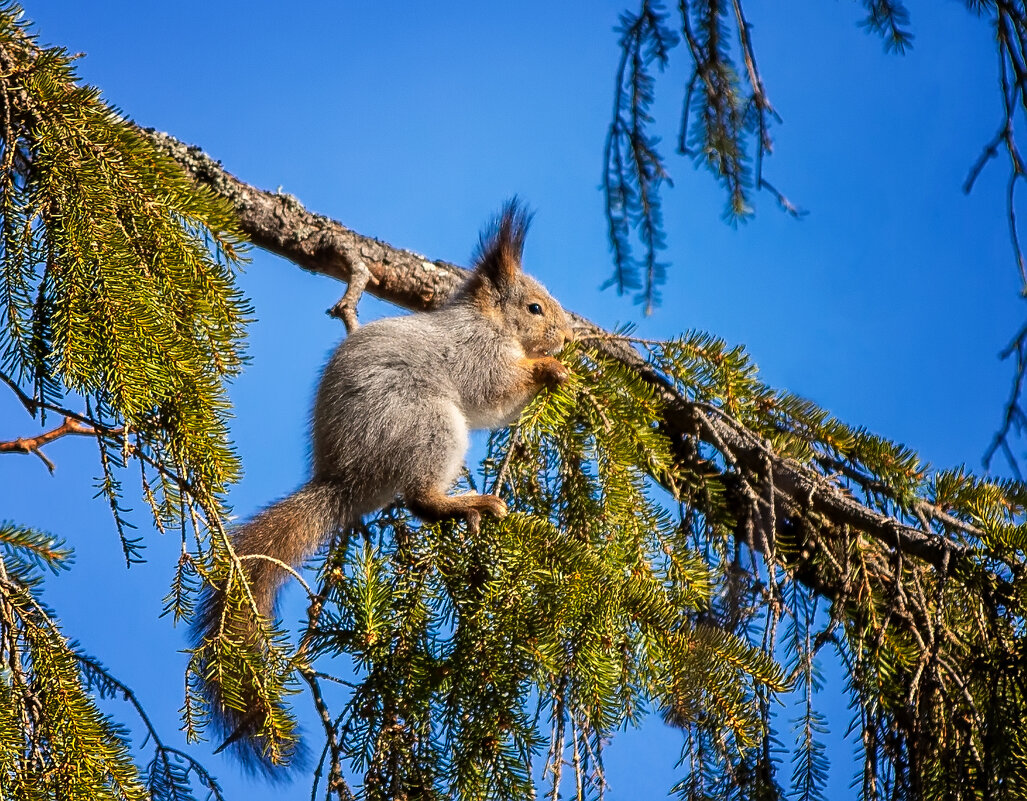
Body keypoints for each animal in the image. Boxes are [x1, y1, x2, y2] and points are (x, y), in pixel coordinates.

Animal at [191, 198, 579, 768]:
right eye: (534, 308)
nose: (569, 338)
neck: (487, 322)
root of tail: (345, 478)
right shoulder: (478, 354)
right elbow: (496, 390)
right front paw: (550, 368)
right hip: (429, 424)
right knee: (419, 500)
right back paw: (463, 504)